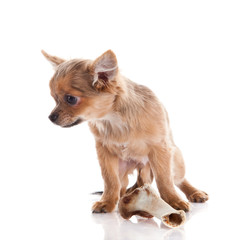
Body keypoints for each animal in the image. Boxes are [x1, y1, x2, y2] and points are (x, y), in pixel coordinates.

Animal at [42, 49, 208, 213]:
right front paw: (106, 202)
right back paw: (121, 197)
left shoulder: (160, 149)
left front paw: (174, 201)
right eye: (54, 99)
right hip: (122, 169)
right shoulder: (105, 153)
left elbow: (164, 179)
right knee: (121, 186)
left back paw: (195, 193)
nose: (50, 117)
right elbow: (110, 181)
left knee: (178, 179)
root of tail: (142, 168)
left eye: (70, 99)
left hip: (175, 160)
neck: (112, 120)